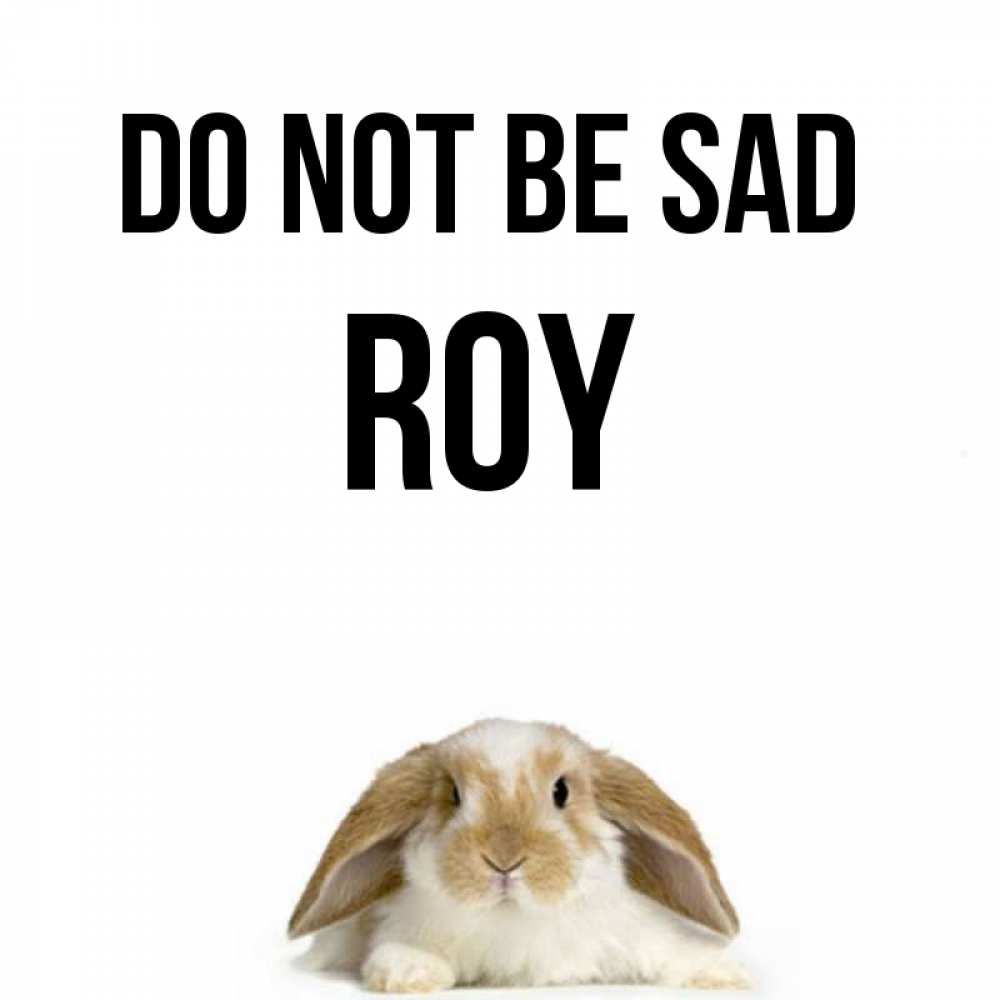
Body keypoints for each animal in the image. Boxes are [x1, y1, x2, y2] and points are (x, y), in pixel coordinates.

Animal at [288, 719, 750, 991]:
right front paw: (410, 973)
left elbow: (674, 950)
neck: (514, 919)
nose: (504, 859)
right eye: (453, 795)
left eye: (561, 791)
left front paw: (725, 973)